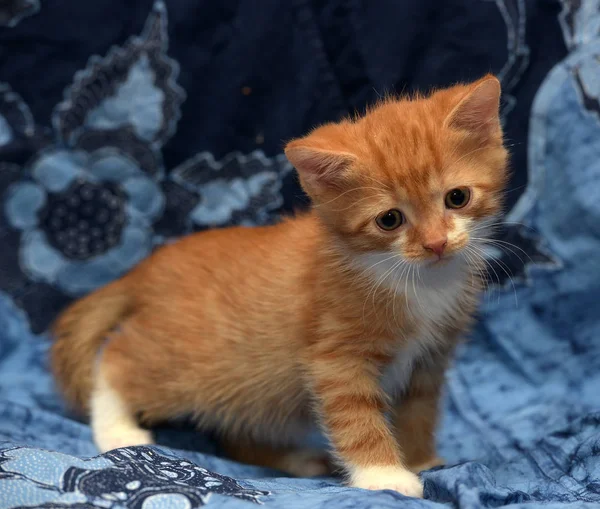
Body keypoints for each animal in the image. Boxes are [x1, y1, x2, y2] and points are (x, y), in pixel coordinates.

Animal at [51, 77, 506, 498]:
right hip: (192, 361)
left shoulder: (430, 358)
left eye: (457, 197)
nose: (436, 244)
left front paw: (420, 460)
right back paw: (117, 429)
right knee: (116, 358)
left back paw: (296, 459)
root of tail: (149, 268)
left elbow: (419, 411)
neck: (416, 279)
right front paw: (384, 476)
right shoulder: (336, 355)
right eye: (389, 220)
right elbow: (356, 416)